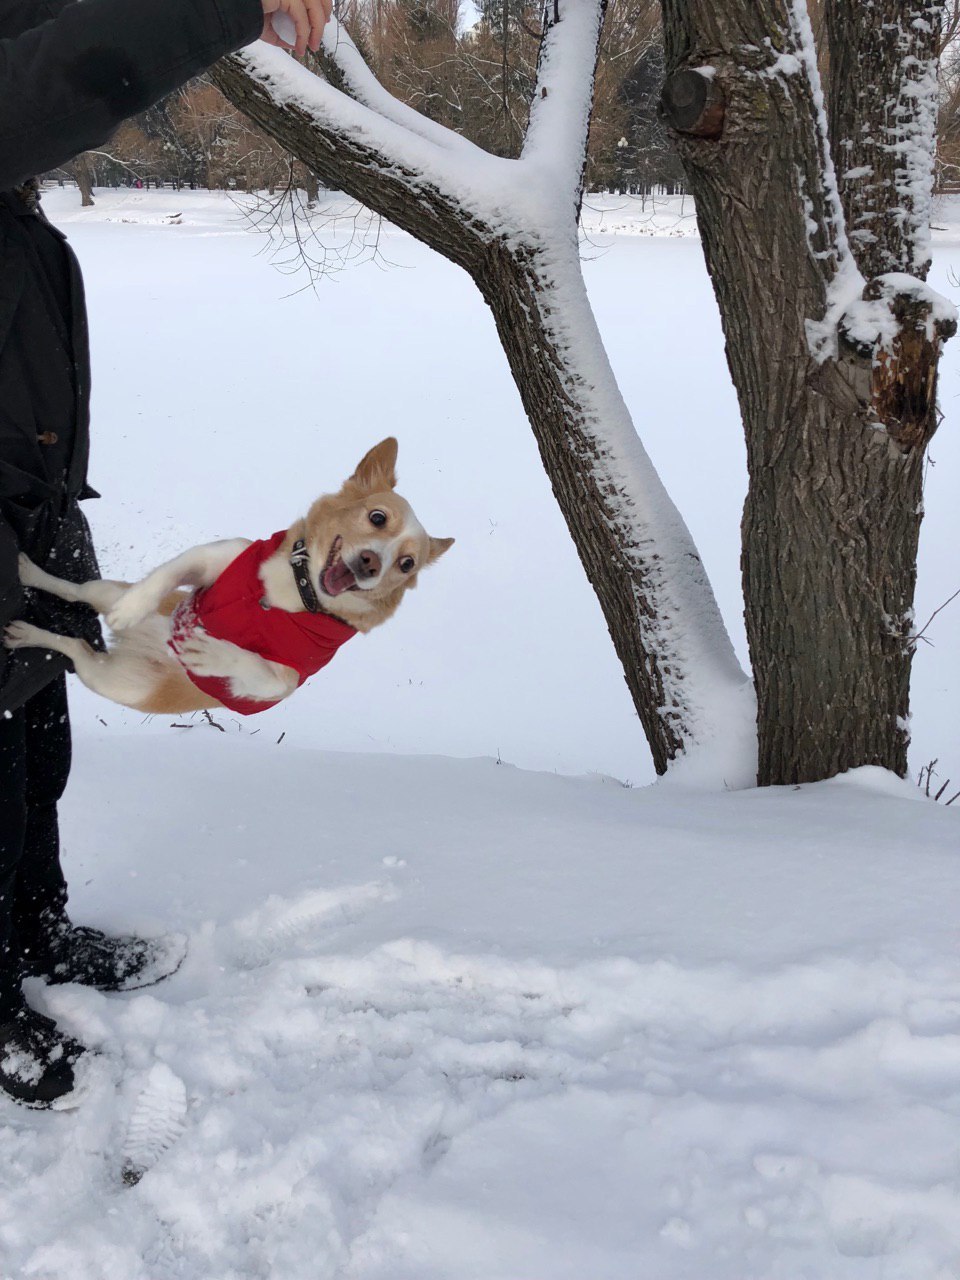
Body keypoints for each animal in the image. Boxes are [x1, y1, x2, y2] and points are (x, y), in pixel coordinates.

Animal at [3, 437, 455, 721]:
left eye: (407, 564)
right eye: (377, 517)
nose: (370, 563)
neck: (295, 590)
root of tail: (130, 644)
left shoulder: (288, 681)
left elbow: (260, 672)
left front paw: (212, 652)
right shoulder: (211, 560)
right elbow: (169, 573)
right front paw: (134, 607)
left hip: (112, 682)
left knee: (75, 646)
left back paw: (25, 632)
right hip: (108, 597)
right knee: (76, 590)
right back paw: (36, 577)